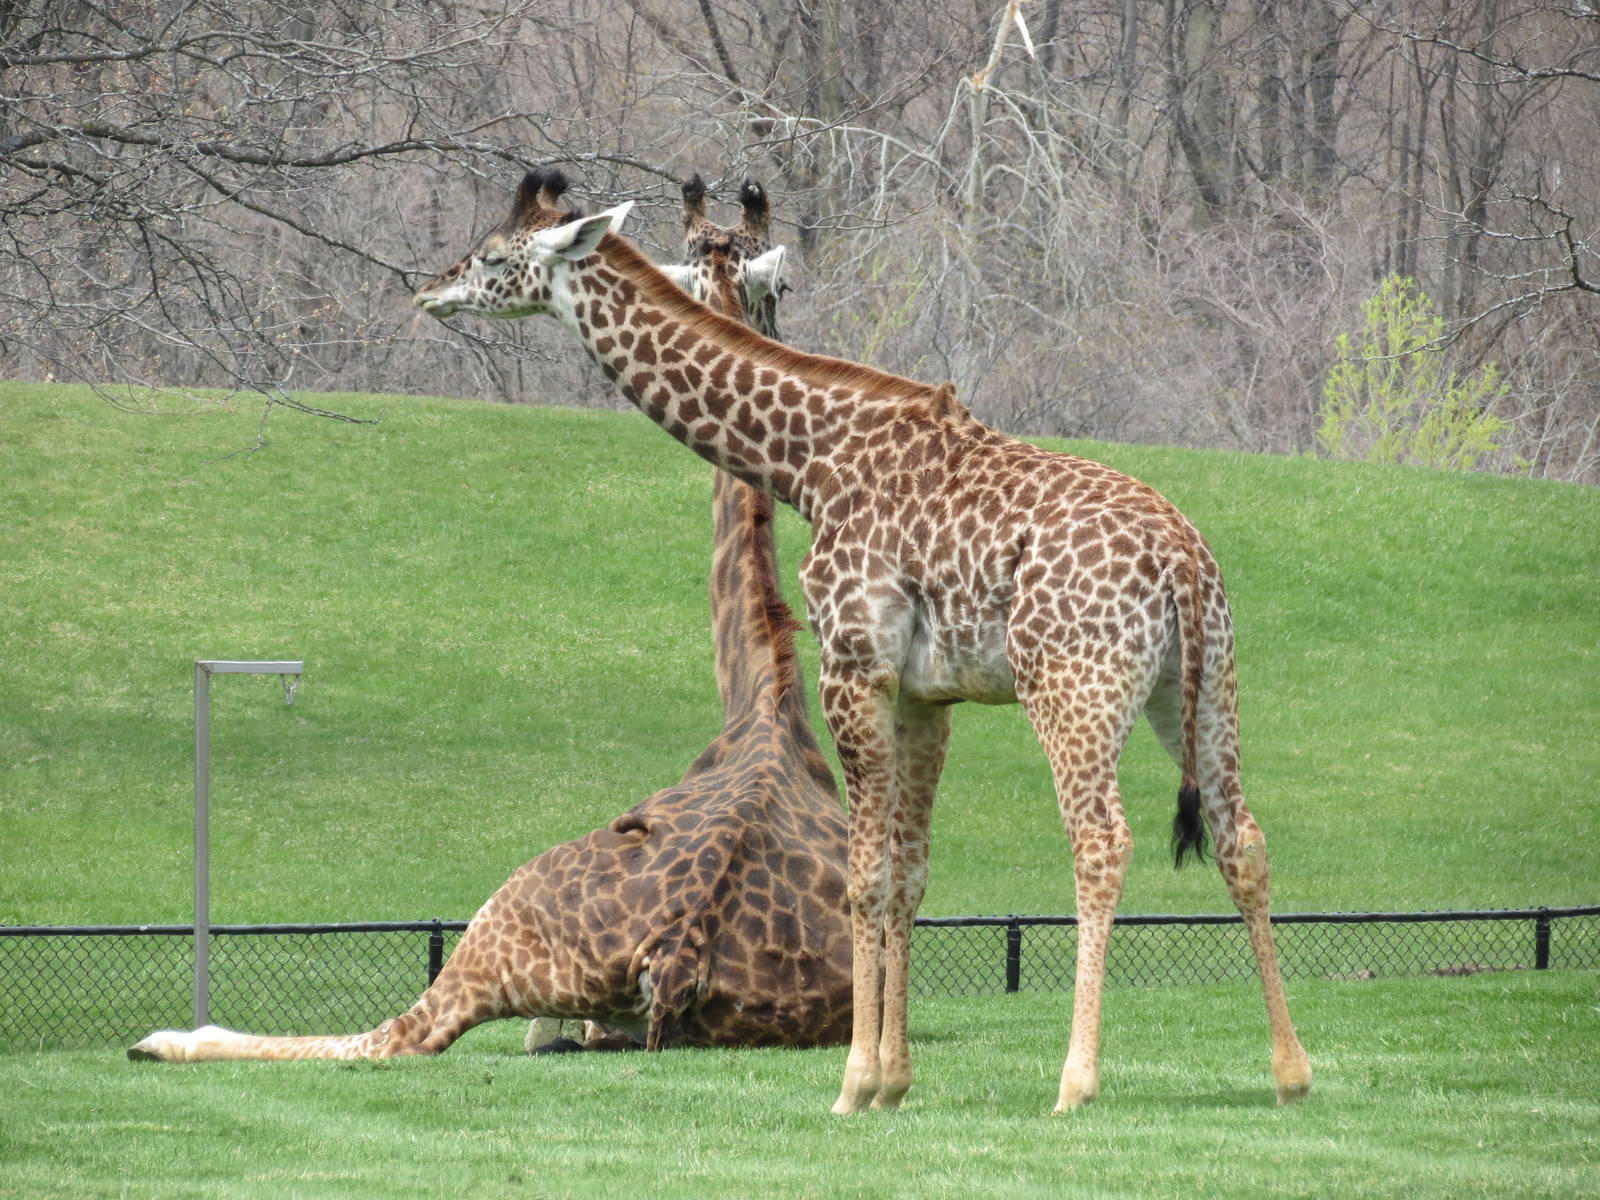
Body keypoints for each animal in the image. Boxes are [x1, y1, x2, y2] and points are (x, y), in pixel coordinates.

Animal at [127, 197, 854, 1062]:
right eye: (776, 290)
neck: (759, 694)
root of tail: (680, 952)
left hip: (496, 929)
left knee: (394, 1037)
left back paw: (166, 1037)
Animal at [410, 169, 1313, 1114]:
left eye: (493, 257)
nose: (428, 290)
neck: (809, 461)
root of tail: (1181, 557)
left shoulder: (853, 664)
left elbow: (866, 875)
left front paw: (854, 1081)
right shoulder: (925, 694)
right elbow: (908, 872)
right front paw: (893, 1081)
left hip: (1074, 687)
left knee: (1102, 842)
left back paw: (1075, 1082)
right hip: (1202, 687)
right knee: (1242, 837)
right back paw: (1290, 1075)